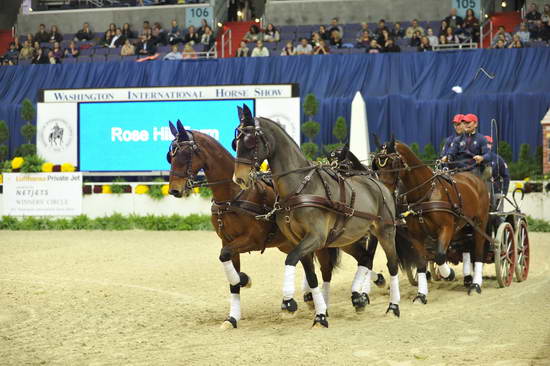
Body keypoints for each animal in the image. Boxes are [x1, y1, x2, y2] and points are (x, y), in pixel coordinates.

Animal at [167, 120, 384, 328]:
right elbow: (228, 269)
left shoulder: (252, 239)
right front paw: (233, 316)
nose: (174, 190)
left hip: (339, 239)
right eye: (170, 156)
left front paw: (245, 280)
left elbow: (227, 258)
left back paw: (359, 293)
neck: (234, 195)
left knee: (351, 261)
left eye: (185, 154)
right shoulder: (227, 241)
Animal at [231, 105, 404, 326]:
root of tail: (378, 183)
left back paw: (393, 307)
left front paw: (288, 302)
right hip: (346, 238)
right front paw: (320, 314)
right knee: (365, 258)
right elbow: (312, 276)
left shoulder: (315, 237)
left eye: (251, 142)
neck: (300, 188)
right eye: (235, 143)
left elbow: (290, 259)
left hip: (385, 232)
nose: (239, 179)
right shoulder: (299, 240)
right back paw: (358, 298)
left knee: (392, 265)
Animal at [370, 137, 492, 300]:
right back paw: (467, 279)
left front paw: (449, 274)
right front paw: (421, 294)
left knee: (478, 251)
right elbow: (422, 262)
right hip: (462, 225)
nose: (383, 193)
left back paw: (475, 285)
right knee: (466, 247)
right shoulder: (416, 235)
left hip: (479, 223)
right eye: (377, 165)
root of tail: (475, 179)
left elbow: (440, 256)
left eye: (393, 164)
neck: (426, 192)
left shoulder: (446, 228)